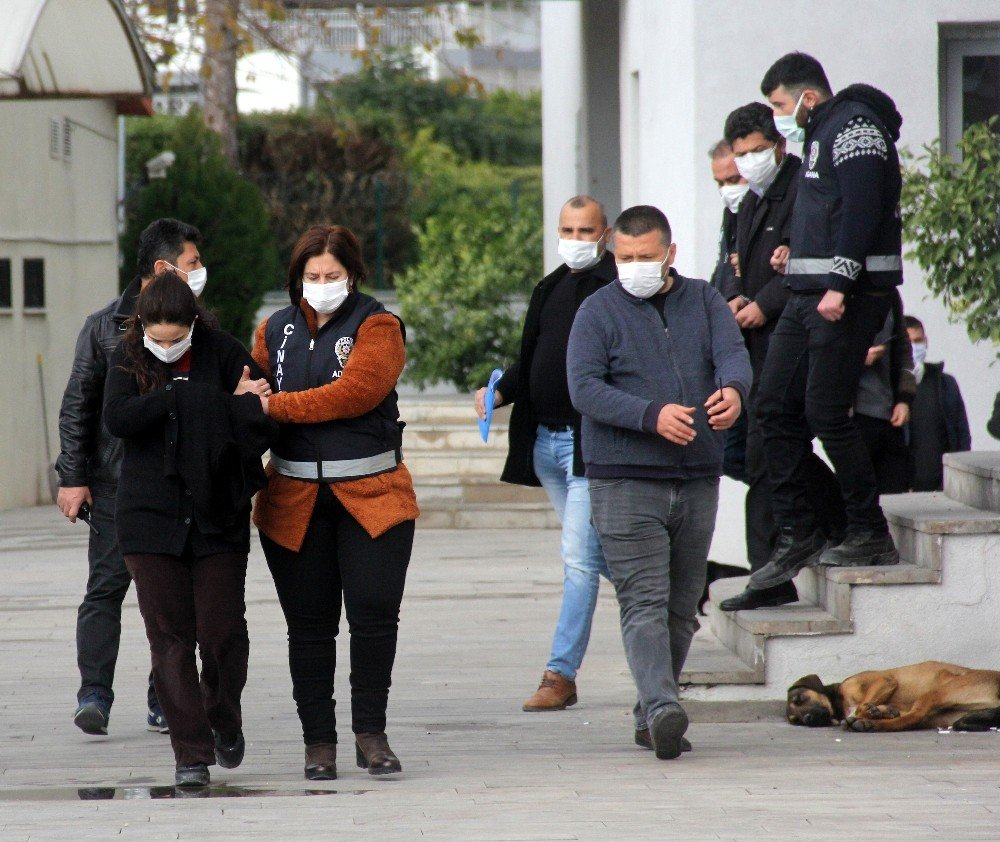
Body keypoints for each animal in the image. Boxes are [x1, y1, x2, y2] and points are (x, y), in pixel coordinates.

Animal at [784, 664, 1000, 728]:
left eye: (798, 699)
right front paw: (880, 711)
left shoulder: (885, 681)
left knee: (915, 716)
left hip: (942, 689)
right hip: (945, 714)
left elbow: (862, 705)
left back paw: (869, 723)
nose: (808, 718)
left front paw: (871, 711)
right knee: (910, 719)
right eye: (796, 720)